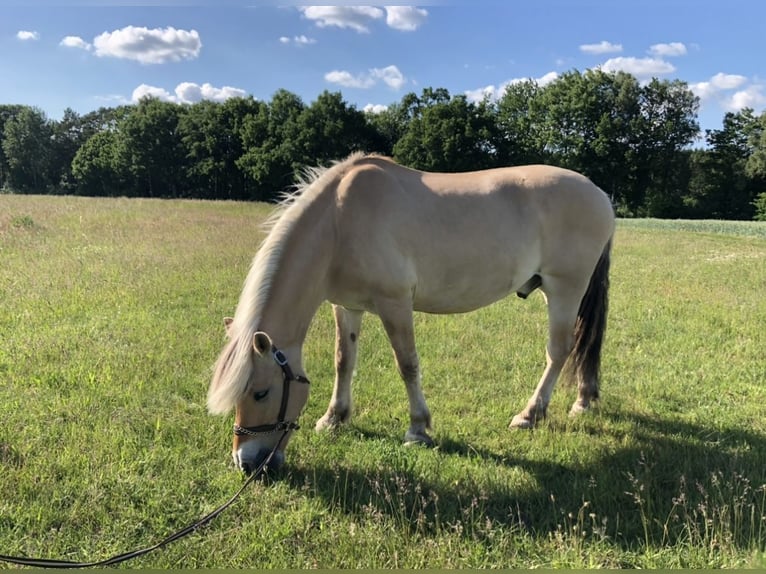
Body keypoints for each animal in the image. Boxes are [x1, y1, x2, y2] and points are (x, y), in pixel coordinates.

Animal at [210, 151, 616, 474]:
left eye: (261, 393)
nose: (246, 463)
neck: (341, 221)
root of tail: (599, 194)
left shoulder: (395, 303)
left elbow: (407, 365)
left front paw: (418, 429)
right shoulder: (347, 305)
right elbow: (344, 360)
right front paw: (334, 418)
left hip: (564, 289)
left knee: (560, 351)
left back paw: (530, 414)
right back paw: (583, 399)